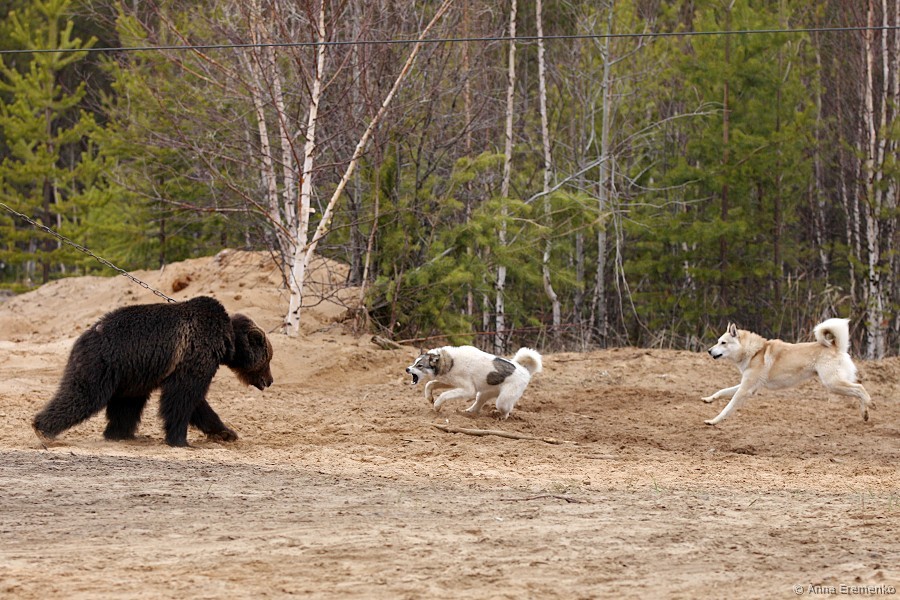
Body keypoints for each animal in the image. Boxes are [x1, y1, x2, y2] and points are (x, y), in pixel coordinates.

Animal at [32, 296, 274, 447]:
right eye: (269, 359)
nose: (270, 380)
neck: (226, 341)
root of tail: (84, 337)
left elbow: (197, 403)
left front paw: (226, 433)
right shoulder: (195, 356)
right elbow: (183, 398)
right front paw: (179, 439)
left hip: (131, 373)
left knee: (127, 404)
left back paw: (120, 434)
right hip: (102, 364)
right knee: (83, 395)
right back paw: (42, 428)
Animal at [406, 346, 542, 419]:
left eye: (420, 365)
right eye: (414, 362)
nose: (407, 369)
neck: (450, 361)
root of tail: (525, 370)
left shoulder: (468, 390)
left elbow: (444, 395)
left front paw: (437, 405)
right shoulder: (451, 382)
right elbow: (430, 384)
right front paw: (429, 397)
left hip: (502, 401)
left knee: (506, 409)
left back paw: (501, 417)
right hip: (484, 393)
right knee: (477, 405)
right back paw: (468, 412)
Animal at [702, 319, 873, 425]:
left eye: (723, 343)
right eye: (718, 341)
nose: (709, 351)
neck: (755, 352)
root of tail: (835, 346)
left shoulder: (745, 390)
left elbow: (727, 407)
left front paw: (713, 421)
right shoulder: (749, 386)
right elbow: (722, 391)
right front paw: (708, 399)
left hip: (833, 383)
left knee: (860, 389)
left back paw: (870, 405)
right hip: (837, 384)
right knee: (858, 390)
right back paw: (865, 413)